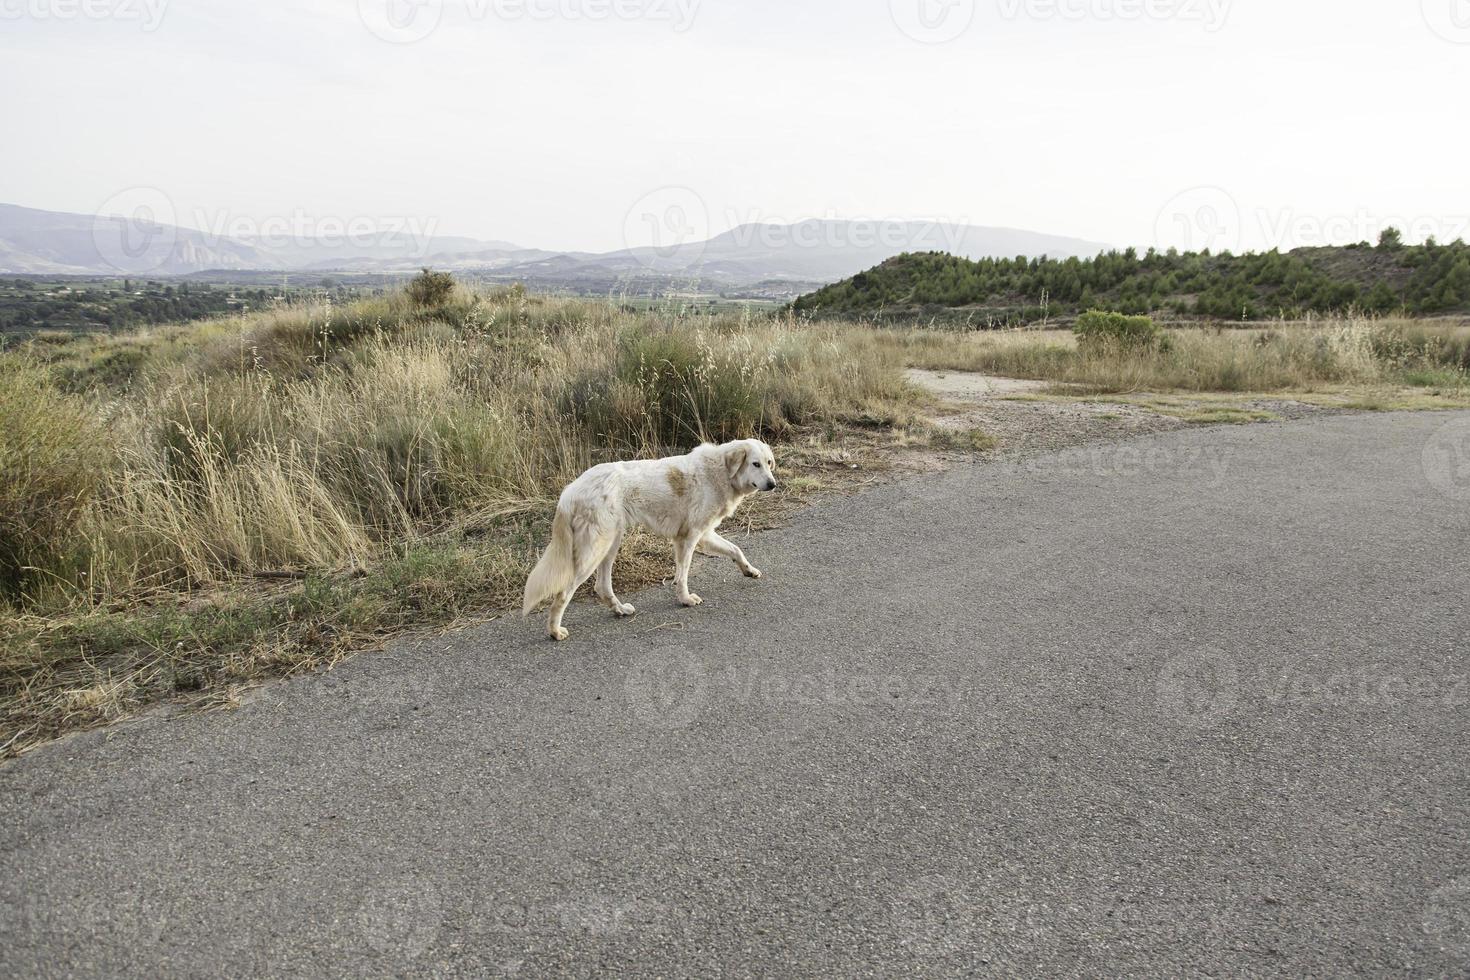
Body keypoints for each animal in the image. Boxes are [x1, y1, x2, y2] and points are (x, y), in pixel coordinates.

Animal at [520, 437, 776, 640]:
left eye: (769, 463)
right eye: (755, 464)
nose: (773, 484)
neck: (721, 471)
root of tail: (569, 491)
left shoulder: (704, 535)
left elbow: (735, 549)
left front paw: (749, 570)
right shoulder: (689, 537)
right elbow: (683, 575)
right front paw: (685, 599)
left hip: (611, 544)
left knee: (601, 586)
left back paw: (620, 610)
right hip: (594, 550)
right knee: (564, 592)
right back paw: (555, 631)